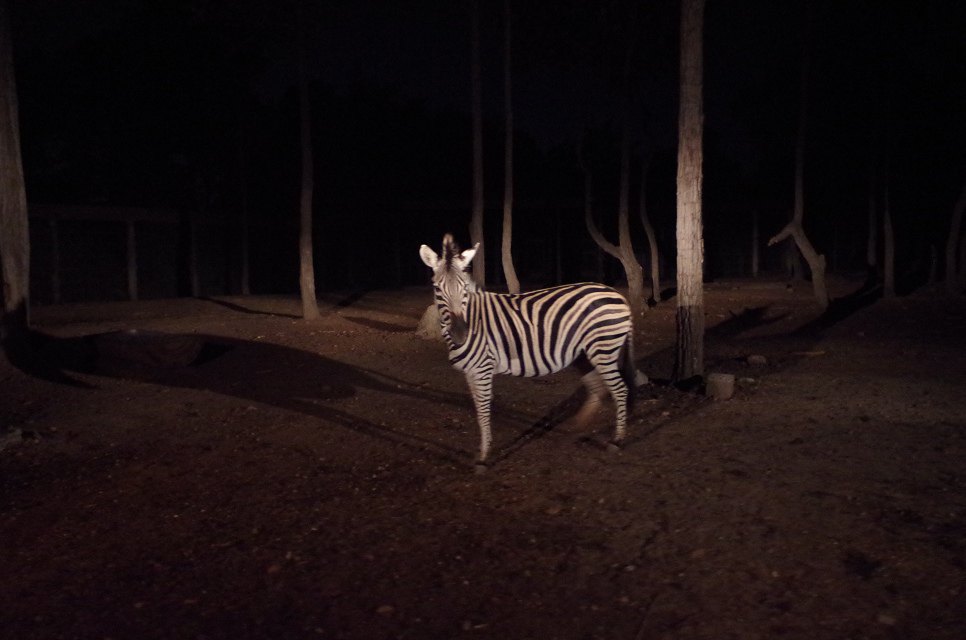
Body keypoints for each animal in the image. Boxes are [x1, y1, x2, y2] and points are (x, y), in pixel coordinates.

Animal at [420, 232, 640, 468]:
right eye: (437, 289)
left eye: (464, 288)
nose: (461, 334)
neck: (473, 316)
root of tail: (618, 294)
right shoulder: (470, 372)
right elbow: (478, 409)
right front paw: (482, 452)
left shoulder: (482, 369)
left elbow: (483, 410)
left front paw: (484, 458)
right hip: (584, 353)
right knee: (598, 387)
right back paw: (577, 430)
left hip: (604, 348)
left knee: (620, 389)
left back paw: (617, 440)